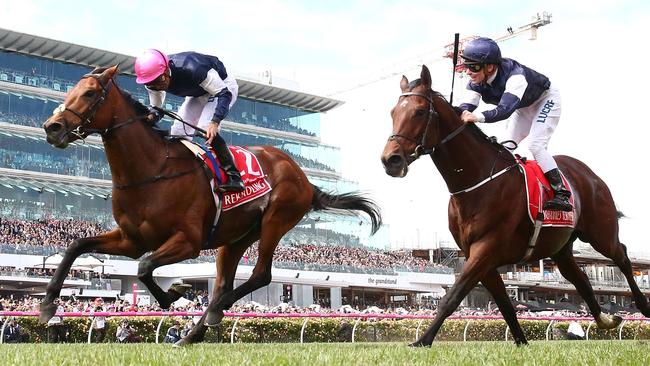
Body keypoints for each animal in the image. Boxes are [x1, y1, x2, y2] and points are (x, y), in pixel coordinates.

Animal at [40, 65, 382, 346]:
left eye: (89, 92)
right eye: (70, 90)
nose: (52, 127)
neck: (151, 170)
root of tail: (303, 176)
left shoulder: (188, 241)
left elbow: (145, 266)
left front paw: (172, 294)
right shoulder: (132, 240)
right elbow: (77, 246)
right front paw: (47, 304)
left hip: (277, 219)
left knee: (260, 275)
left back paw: (215, 311)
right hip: (235, 239)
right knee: (223, 283)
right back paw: (193, 332)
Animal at [380, 65, 644, 346]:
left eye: (419, 111)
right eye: (393, 112)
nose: (390, 159)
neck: (477, 180)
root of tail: (589, 174)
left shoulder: (486, 247)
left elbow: (452, 297)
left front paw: (423, 341)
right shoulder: (478, 255)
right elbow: (505, 305)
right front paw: (522, 342)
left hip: (601, 234)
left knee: (623, 256)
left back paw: (643, 305)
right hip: (560, 247)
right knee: (580, 278)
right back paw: (606, 319)